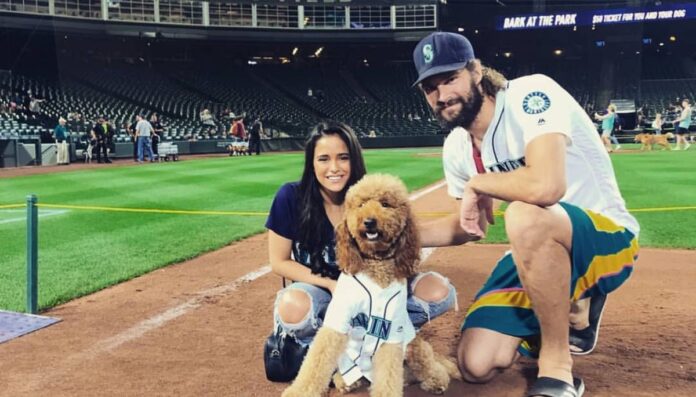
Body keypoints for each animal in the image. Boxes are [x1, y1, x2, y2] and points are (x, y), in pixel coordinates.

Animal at [280, 173, 460, 396]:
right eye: (361, 204)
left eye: (385, 204)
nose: (369, 222)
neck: (376, 265)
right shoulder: (337, 321)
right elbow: (317, 359)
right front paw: (300, 390)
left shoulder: (391, 330)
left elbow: (388, 375)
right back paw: (345, 381)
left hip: (413, 344)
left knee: (426, 361)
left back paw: (436, 379)